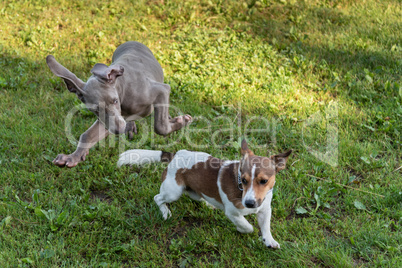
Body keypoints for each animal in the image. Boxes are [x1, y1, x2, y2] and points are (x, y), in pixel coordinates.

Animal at [118, 140, 290, 249]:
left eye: (263, 181)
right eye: (244, 180)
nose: (249, 203)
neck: (241, 190)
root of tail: (176, 154)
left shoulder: (265, 209)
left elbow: (266, 226)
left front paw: (269, 240)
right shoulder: (232, 212)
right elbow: (247, 226)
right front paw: (242, 229)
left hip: (191, 190)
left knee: (198, 196)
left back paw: (208, 203)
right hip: (173, 192)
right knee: (158, 198)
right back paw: (165, 212)